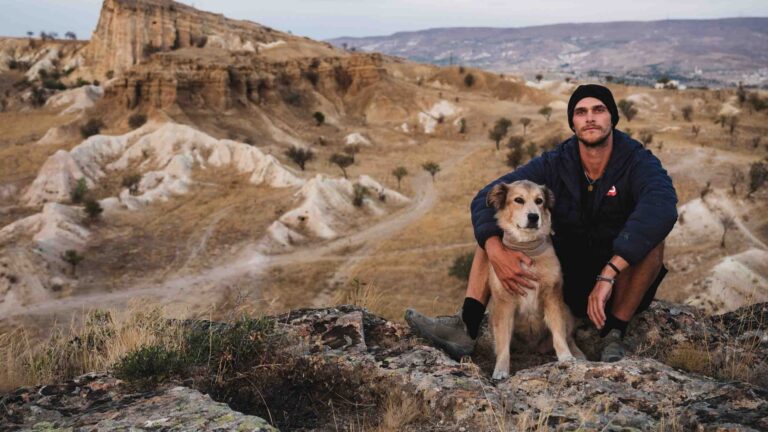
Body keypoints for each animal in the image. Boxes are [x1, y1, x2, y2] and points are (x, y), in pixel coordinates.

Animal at [486, 181, 584, 380]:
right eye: (518, 200)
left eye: (539, 201)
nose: (533, 217)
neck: (527, 249)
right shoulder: (504, 303)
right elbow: (503, 343)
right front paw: (501, 369)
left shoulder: (552, 296)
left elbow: (559, 333)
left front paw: (566, 357)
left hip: (566, 309)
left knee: (569, 336)